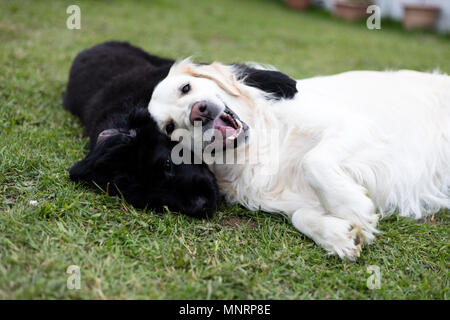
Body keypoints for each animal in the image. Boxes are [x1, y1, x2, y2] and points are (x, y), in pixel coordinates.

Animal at [149, 60, 450, 260]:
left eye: (186, 88)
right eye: (170, 128)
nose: (198, 112)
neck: (261, 145)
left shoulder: (354, 126)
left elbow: (312, 162)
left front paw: (351, 208)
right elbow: (300, 216)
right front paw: (339, 234)